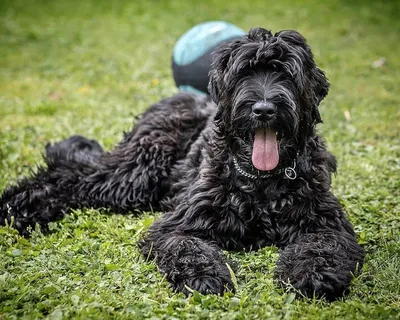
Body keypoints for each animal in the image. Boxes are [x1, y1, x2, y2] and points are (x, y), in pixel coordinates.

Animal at [0, 27, 364, 300]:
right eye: (244, 73)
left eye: (286, 74)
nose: (263, 109)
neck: (261, 184)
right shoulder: (178, 224)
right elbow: (186, 246)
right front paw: (205, 276)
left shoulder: (326, 224)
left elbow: (323, 246)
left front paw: (313, 275)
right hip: (136, 173)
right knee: (71, 174)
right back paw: (16, 206)